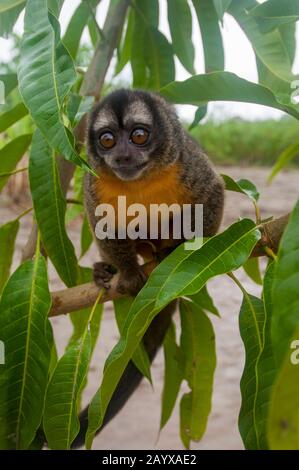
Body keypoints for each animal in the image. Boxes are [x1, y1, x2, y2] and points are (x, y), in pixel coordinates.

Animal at [71, 89, 224, 448]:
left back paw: (166, 250)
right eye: (108, 140)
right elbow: (101, 222)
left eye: (139, 136)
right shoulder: (93, 183)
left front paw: (187, 256)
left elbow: (212, 194)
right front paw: (126, 273)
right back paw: (105, 270)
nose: (123, 155)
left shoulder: (187, 163)